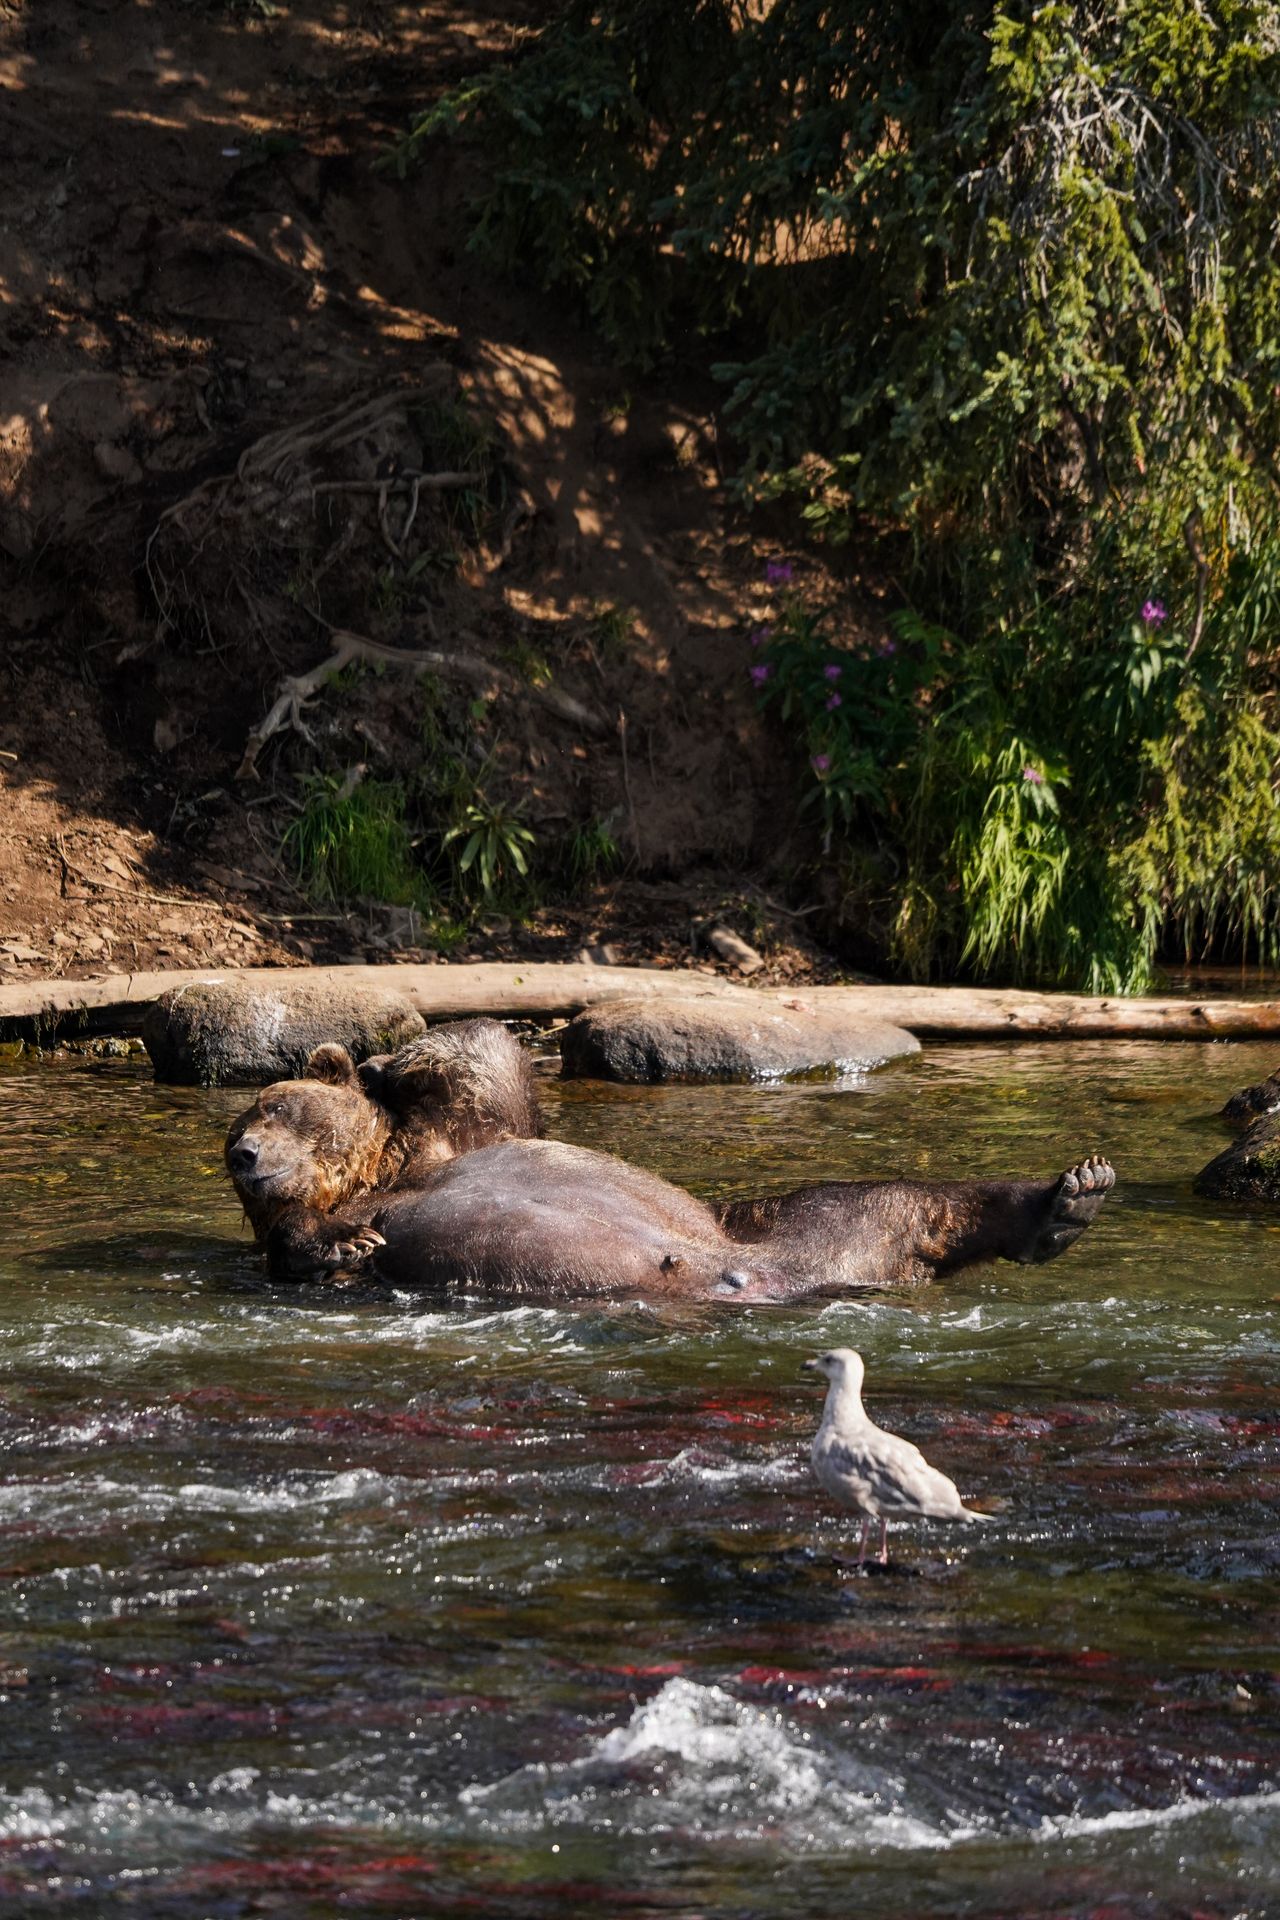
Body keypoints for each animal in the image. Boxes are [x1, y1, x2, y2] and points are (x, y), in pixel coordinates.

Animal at [224, 1020, 1116, 1299]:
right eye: (239, 1130)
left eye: (275, 1104)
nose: (245, 1153)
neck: (382, 1170)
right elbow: (302, 1241)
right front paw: (349, 1242)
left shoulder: (468, 1130)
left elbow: (486, 1060)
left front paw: (388, 1058)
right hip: (814, 1238)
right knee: (891, 1207)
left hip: (776, 1226)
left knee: (901, 1198)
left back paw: (1068, 1195)